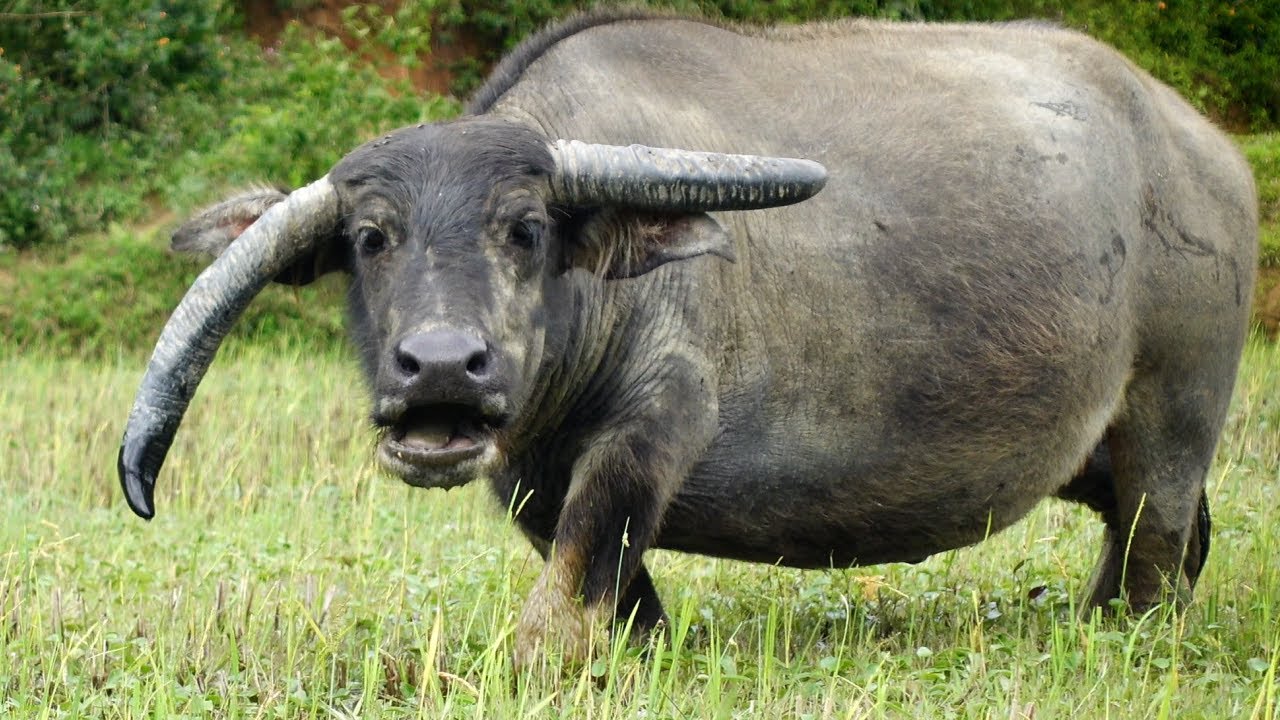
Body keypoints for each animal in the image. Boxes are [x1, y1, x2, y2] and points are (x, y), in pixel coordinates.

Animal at [120, 11, 1258, 667]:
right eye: (368, 239)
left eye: (525, 229)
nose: (442, 367)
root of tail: (1206, 150)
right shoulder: (528, 478)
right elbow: (612, 591)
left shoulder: (656, 423)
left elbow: (565, 598)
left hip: (1173, 419)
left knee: (1158, 544)